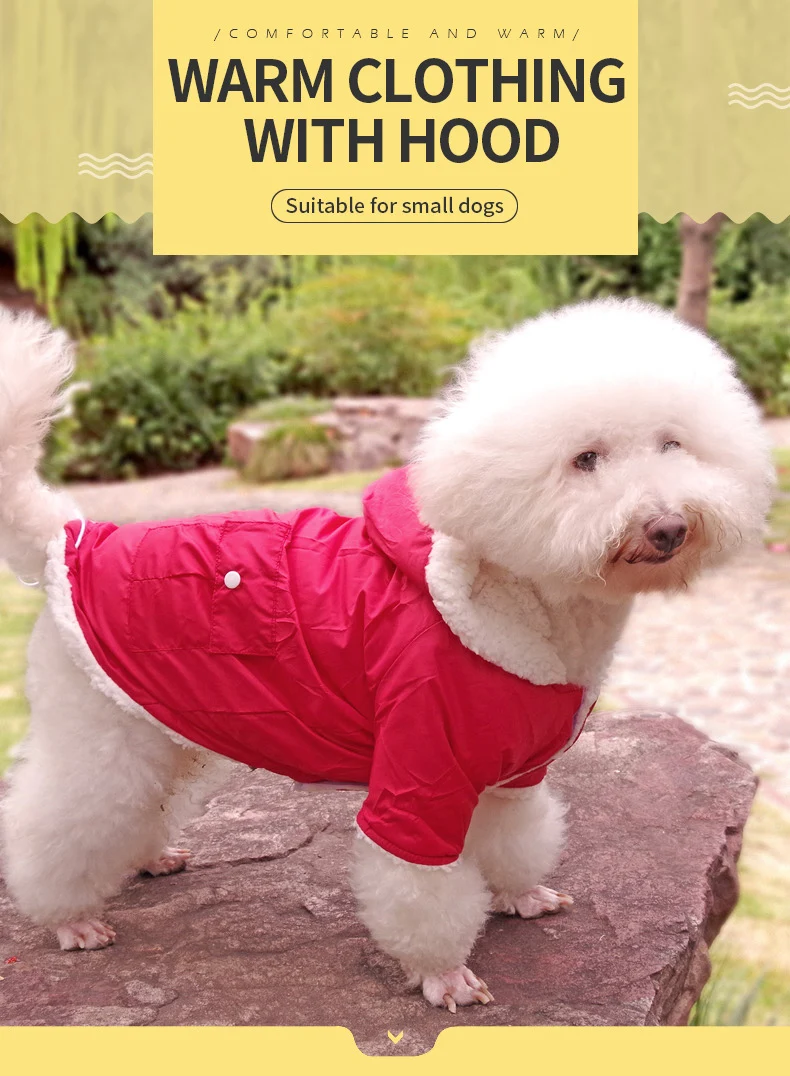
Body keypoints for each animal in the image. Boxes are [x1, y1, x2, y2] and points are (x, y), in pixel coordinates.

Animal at [0, 298, 774, 1011]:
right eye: (586, 459)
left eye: (674, 444)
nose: (668, 526)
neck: (527, 598)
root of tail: (67, 535)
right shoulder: (420, 769)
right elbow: (421, 886)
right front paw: (443, 976)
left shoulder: (511, 773)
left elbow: (515, 837)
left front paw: (522, 895)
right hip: (97, 732)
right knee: (57, 819)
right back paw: (69, 920)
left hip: (166, 717)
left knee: (145, 802)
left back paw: (149, 859)